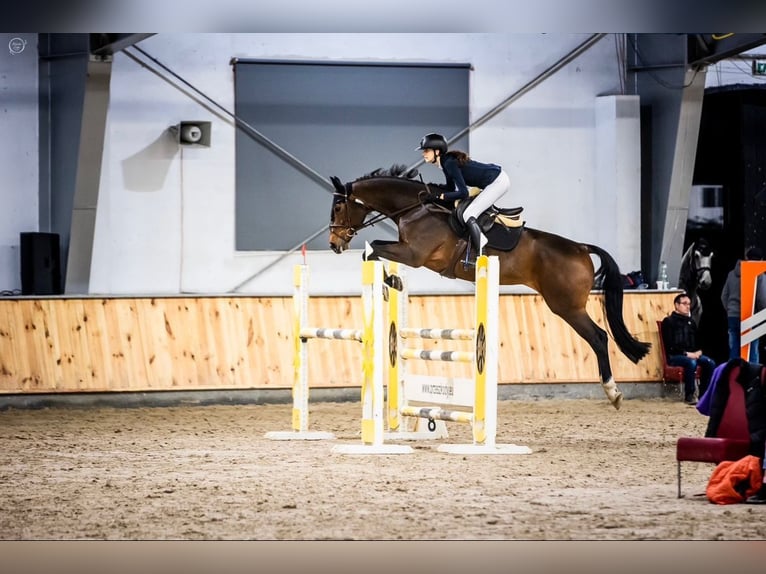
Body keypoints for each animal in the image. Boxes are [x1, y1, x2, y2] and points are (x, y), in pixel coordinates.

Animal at [327, 165, 651, 410]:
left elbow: (372, 249)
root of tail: (582, 248)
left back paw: (613, 392)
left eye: (339, 206)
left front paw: (391, 282)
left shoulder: (415, 255)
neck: (415, 208)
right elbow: (373, 250)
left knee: (598, 337)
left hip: (566, 306)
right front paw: (391, 283)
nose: (334, 244)